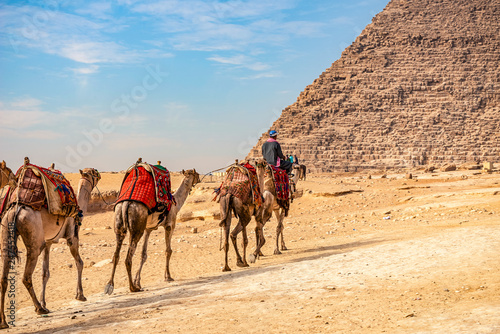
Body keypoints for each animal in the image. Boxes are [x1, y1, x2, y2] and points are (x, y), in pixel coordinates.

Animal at [0, 164, 100, 328]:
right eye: (92, 172)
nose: (98, 173)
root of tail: (17, 210)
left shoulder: (48, 242)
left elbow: (44, 273)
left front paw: (45, 303)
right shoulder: (72, 237)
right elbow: (79, 263)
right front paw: (80, 295)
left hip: (6, 230)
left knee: (4, 276)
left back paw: (3, 321)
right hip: (33, 238)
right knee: (26, 276)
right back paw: (38, 309)